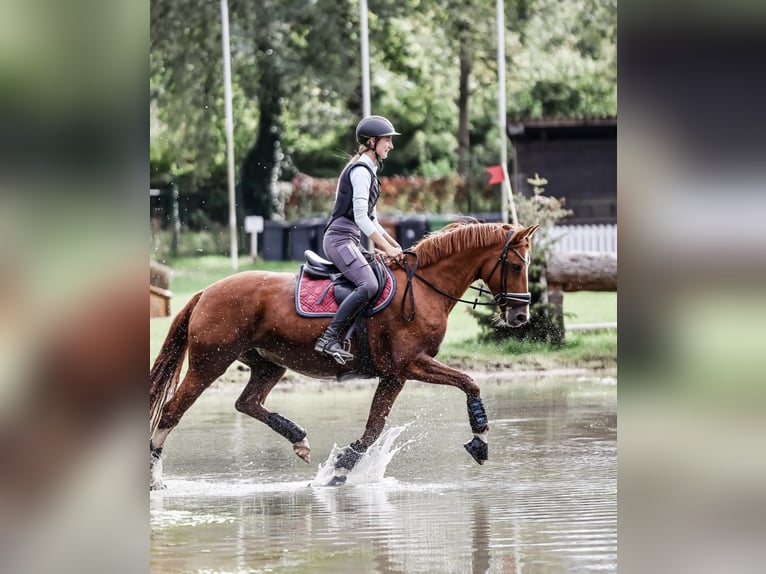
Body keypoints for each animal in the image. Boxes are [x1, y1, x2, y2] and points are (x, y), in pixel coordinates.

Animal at [150, 223, 540, 488]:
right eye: (516, 266)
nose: (521, 316)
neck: (425, 287)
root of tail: (206, 292)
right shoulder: (412, 364)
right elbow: (470, 382)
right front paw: (480, 441)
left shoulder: (394, 375)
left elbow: (373, 427)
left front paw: (340, 469)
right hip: (210, 363)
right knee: (171, 411)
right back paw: (154, 478)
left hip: (268, 363)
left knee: (247, 402)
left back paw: (298, 438)